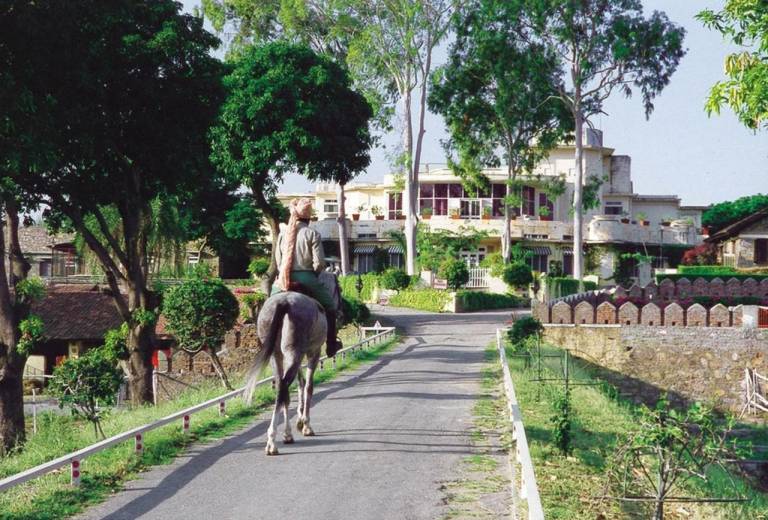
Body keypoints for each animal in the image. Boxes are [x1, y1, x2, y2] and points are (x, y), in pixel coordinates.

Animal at [246, 270, 342, 458]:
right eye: (339, 289)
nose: (341, 309)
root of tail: (284, 302)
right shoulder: (313, 353)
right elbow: (308, 386)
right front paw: (305, 424)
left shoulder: (297, 356)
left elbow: (300, 384)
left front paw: (298, 421)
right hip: (296, 352)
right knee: (285, 385)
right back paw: (273, 441)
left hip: (279, 355)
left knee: (281, 388)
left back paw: (284, 436)